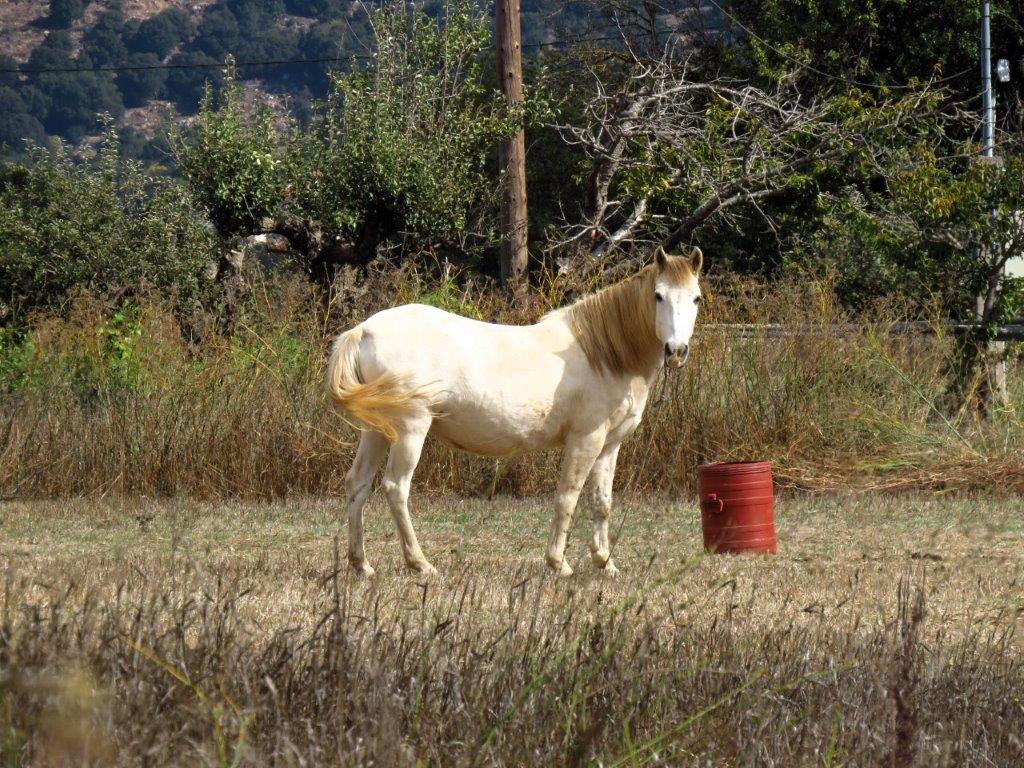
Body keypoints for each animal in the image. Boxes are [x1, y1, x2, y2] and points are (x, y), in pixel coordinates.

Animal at [326, 246, 703, 577]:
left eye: (696, 298)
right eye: (658, 295)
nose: (676, 350)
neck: (603, 354)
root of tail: (364, 331)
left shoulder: (609, 445)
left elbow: (602, 502)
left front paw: (605, 564)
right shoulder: (586, 440)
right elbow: (568, 497)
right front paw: (559, 564)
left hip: (376, 430)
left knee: (357, 484)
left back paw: (362, 565)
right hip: (410, 429)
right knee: (396, 488)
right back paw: (421, 564)